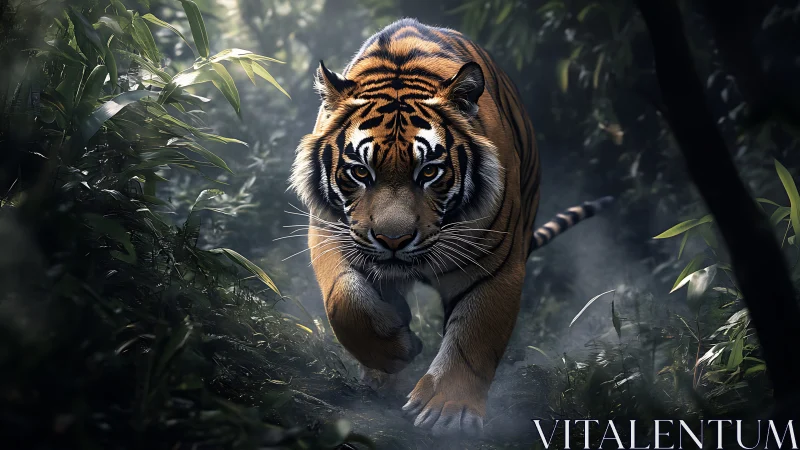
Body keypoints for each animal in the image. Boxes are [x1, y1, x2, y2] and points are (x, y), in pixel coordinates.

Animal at [290, 18, 611, 436]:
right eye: (360, 172)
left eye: (429, 172)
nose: (393, 240)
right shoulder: (330, 233)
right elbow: (345, 302)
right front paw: (397, 351)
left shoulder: (496, 263)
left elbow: (474, 336)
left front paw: (448, 411)